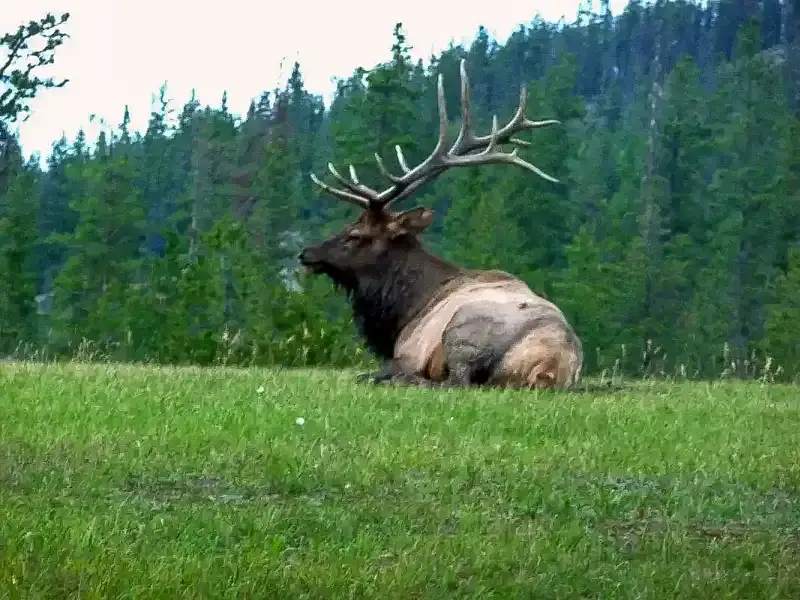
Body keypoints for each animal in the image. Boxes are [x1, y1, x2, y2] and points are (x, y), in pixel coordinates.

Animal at [298, 59, 583, 390]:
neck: (405, 310)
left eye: (354, 235)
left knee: (455, 382)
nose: (306, 253)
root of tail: (549, 368)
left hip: (463, 329)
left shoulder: (408, 351)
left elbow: (381, 370)